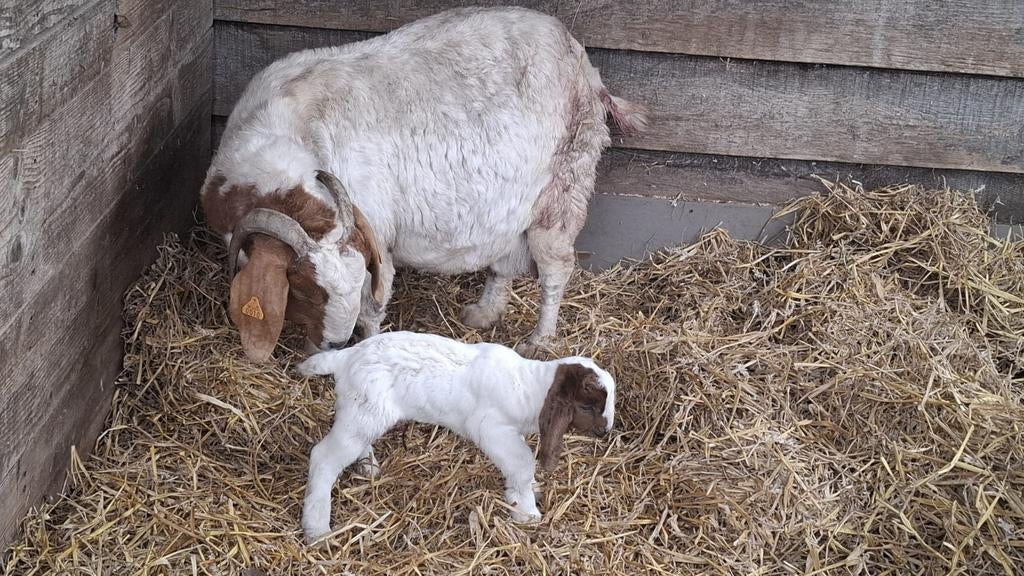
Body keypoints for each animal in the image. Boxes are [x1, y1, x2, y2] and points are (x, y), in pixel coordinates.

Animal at [200, 6, 648, 362]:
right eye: (303, 288)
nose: (334, 344)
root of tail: (583, 62)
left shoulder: (375, 239)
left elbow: (372, 306)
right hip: (512, 207)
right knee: (504, 262)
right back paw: (483, 313)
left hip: (564, 187)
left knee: (556, 268)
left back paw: (539, 340)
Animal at [297, 331, 616, 543]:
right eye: (587, 407)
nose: (606, 430)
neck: (529, 388)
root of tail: (346, 356)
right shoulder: (491, 429)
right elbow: (522, 463)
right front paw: (526, 511)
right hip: (365, 410)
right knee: (324, 457)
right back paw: (317, 528)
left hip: (364, 413)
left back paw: (368, 465)